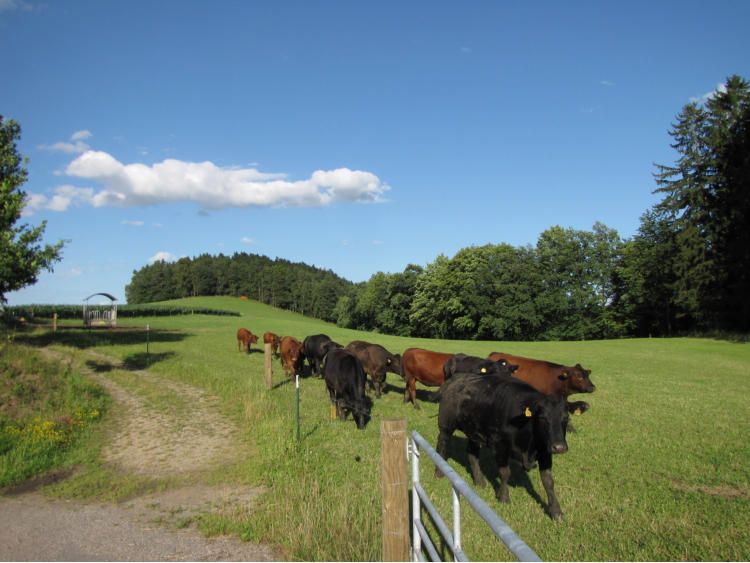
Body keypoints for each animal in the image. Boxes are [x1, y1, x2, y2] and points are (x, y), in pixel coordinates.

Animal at [438, 372, 592, 524]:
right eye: (542, 418)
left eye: (566, 417)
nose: (559, 447)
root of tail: (457, 378)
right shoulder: (501, 446)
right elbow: (505, 473)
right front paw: (504, 497)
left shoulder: (545, 452)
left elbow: (548, 481)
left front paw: (556, 512)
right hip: (446, 424)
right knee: (442, 444)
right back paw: (438, 474)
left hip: (474, 431)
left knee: (472, 454)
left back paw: (480, 482)